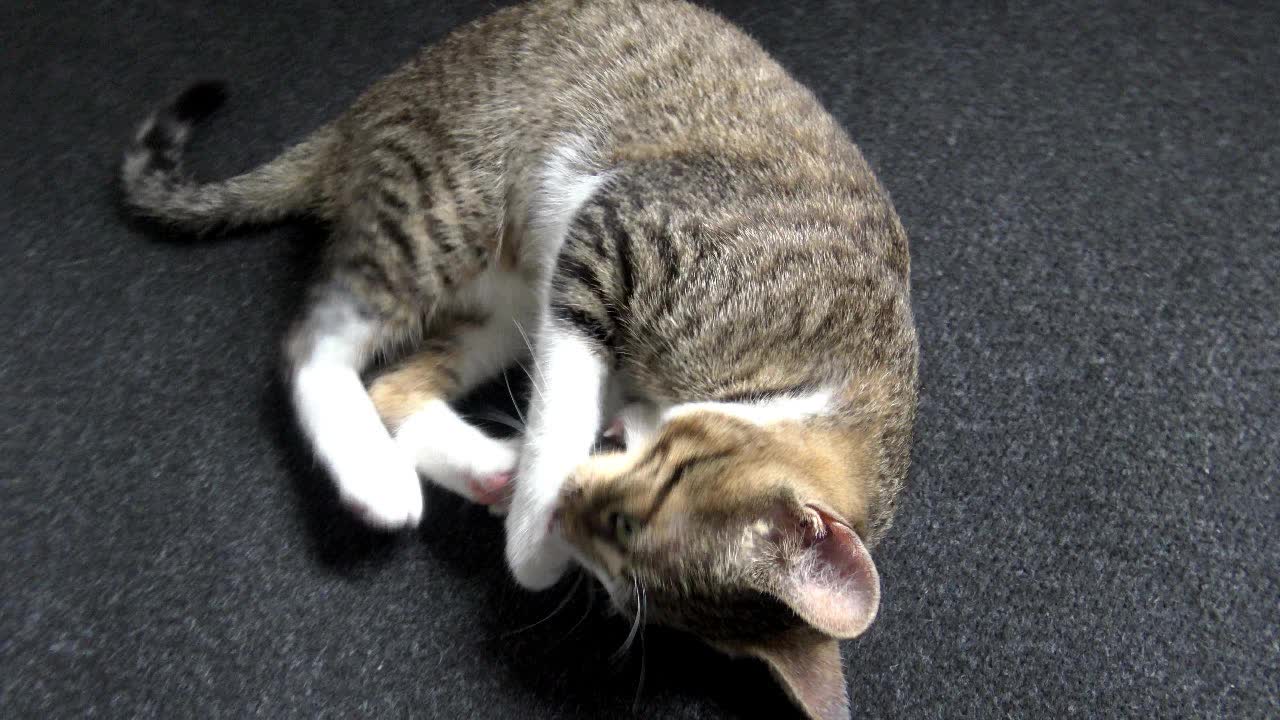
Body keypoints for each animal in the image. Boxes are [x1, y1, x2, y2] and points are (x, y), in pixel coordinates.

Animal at [122, 2, 921, 712]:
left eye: (615, 582)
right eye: (628, 522)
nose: (569, 511)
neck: (820, 370)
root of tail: (360, 114)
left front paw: (532, 508)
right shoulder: (614, 231)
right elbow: (564, 397)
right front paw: (534, 536)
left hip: (502, 307)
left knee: (395, 383)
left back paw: (482, 467)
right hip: (448, 204)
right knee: (316, 341)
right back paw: (378, 473)